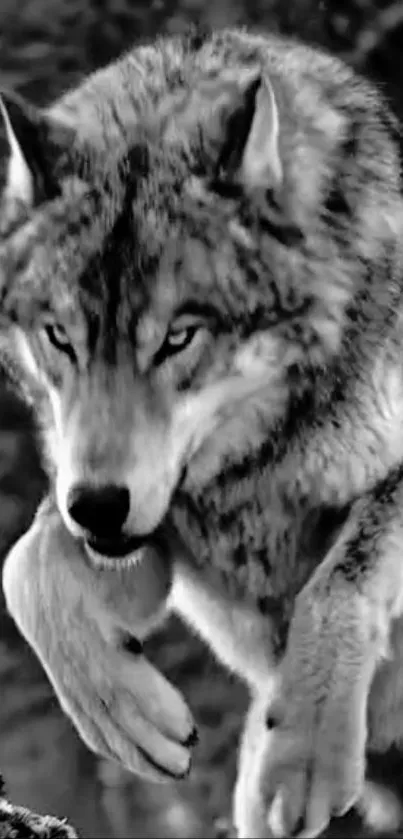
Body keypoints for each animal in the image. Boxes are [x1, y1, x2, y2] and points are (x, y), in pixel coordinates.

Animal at [2, 24, 403, 838]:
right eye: (61, 337)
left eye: (178, 337)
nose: (98, 504)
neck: (256, 470)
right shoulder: (150, 543)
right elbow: (24, 566)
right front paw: (123, 714)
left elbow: (341, 581)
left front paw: (304, 758)